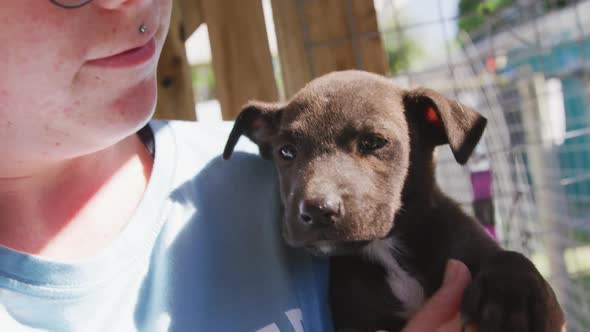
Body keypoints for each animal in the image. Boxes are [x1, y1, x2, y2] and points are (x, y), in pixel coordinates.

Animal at [224, 70, 568, 332]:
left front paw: (511, 297)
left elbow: (510, 257)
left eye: (373, 142)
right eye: (286, 152)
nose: (317, 211)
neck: (387, 247)